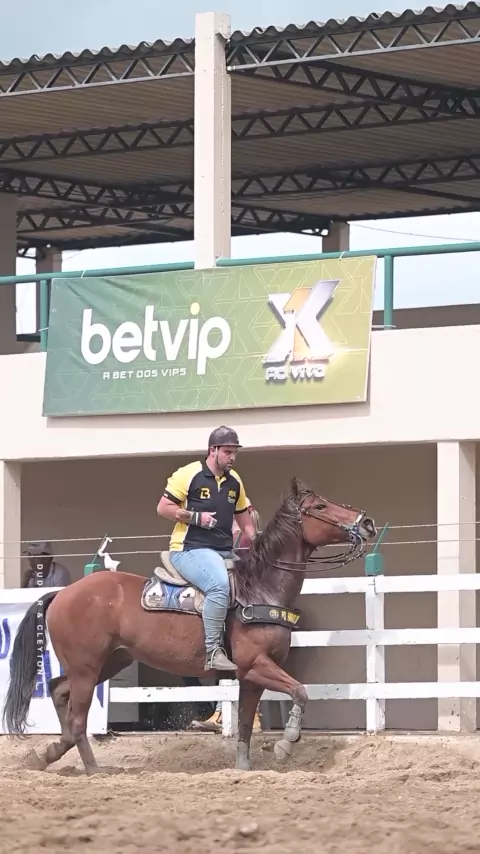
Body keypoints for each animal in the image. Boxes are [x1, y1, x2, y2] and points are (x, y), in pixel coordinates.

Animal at [2, 477, 376, 775]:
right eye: (320, 506)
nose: (367, 522)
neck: (259, 588)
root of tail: (64, 593)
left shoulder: (251, 676)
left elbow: (245, 724)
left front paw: (243, 767)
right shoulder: (255, 665)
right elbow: (300, 691)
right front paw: (286, 744)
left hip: (108, 662)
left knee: (57, 691)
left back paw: (51, 751)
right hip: (87, 667)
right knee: (78, 719)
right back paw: (93, 769)